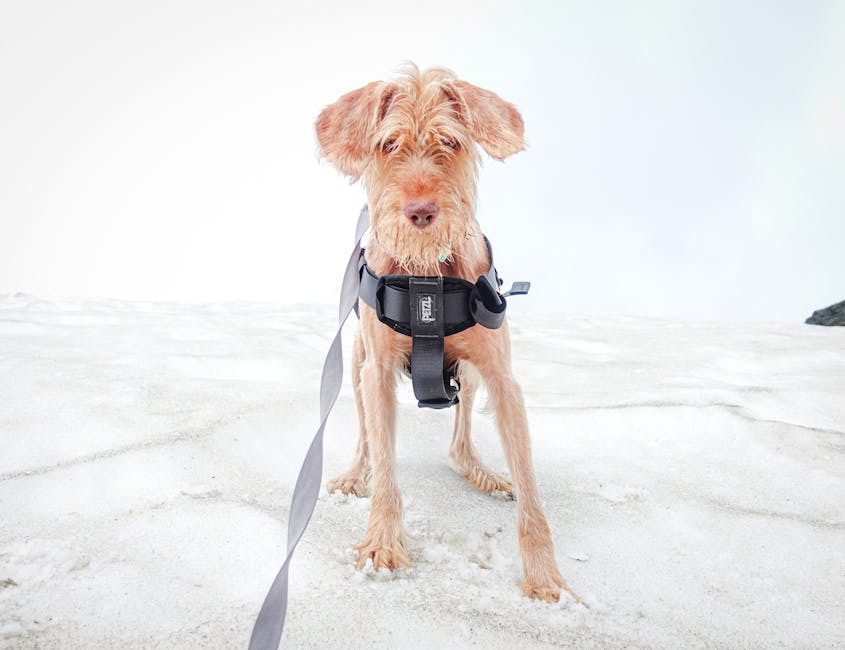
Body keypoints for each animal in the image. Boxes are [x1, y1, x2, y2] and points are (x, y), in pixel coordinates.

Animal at [314, 64, 580, 604]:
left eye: (450, 143)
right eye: (388, 144)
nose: (420, 211)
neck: (427, 276)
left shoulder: (503, 378)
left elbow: (532, 491)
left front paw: (545, 578)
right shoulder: (376, 371)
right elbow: (386, 469)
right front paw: (382, 543)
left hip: (471, 376)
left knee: (460, 442)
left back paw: (483, 472)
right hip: (356, 364)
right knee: (366, 438)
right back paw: (355, 475)